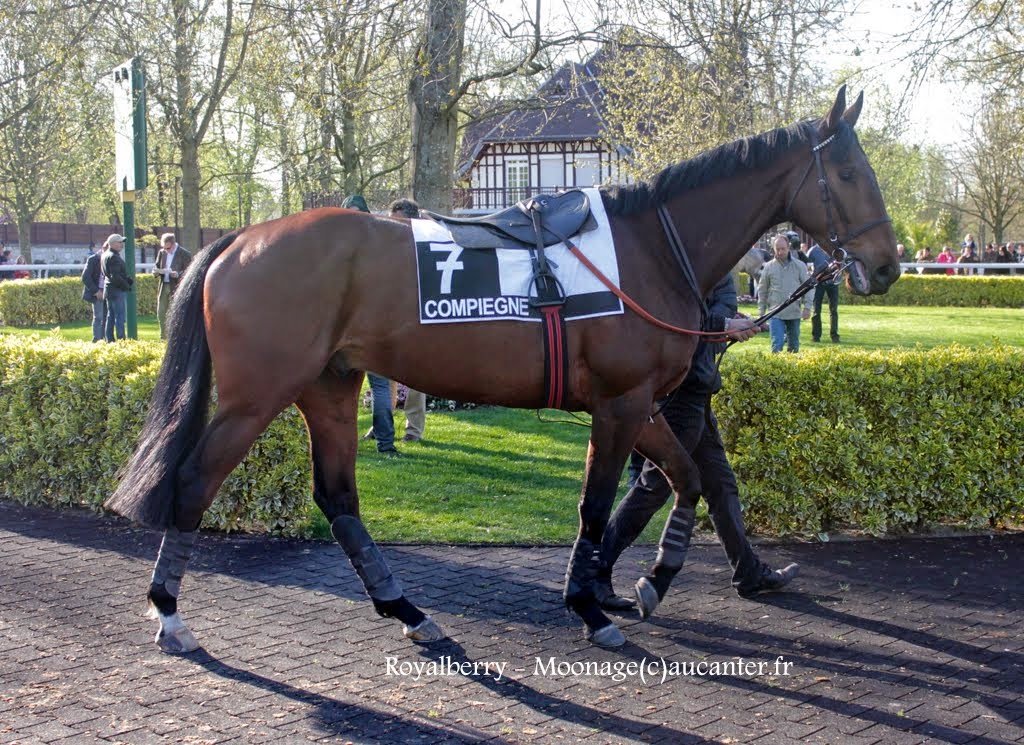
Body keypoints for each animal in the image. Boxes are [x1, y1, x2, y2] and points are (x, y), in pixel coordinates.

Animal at [108, 84, 901, 650]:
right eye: (850, 172)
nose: (888, 265)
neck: (649, 246)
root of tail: (240, 239)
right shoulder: (618, 404)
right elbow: (596, 504)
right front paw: (589, 604)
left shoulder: (641, 403)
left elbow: (688, 478)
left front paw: (651, 580)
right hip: (255, 396)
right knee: (193, 481)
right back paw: (168, 611)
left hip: (329, 388)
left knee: (338, 499)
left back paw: (407, 610)